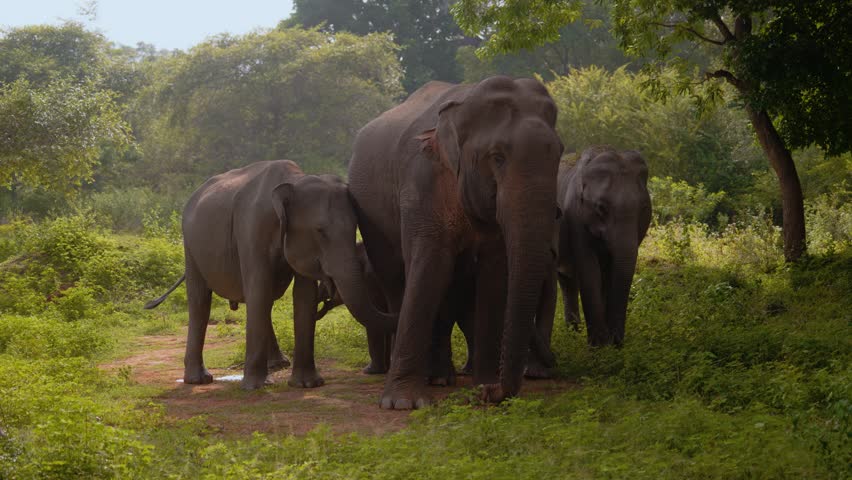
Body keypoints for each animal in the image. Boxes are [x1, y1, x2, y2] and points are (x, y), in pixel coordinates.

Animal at [144, 160, 397, 390]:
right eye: (320, 231)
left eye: (356, 227)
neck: (293, 181)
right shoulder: (251, 231)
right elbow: (260, 289)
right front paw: (255, 387)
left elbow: (303, 297)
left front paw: (308, 384)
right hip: (190, 245)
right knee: (200, 301)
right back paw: (199, 380)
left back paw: (278, 364)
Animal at [348, 76, 563, 409]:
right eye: (497, 157)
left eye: (559, 155)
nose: (493, 393)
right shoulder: (420, 184)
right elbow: (429, 266)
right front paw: (403, 403)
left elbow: (495, 274)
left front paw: (483, 383)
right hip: (372, 221)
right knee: (396, 281)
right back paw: (425, 376)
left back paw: (440, 376)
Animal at [555, 146, 652, 346]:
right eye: (600, 207)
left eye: (645, 208)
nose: (617, 342)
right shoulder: (574, 215)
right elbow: (589, 269)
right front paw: (599, 346)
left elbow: (609, 274)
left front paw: (610, 346)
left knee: (567, 281)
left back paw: (572, 335)